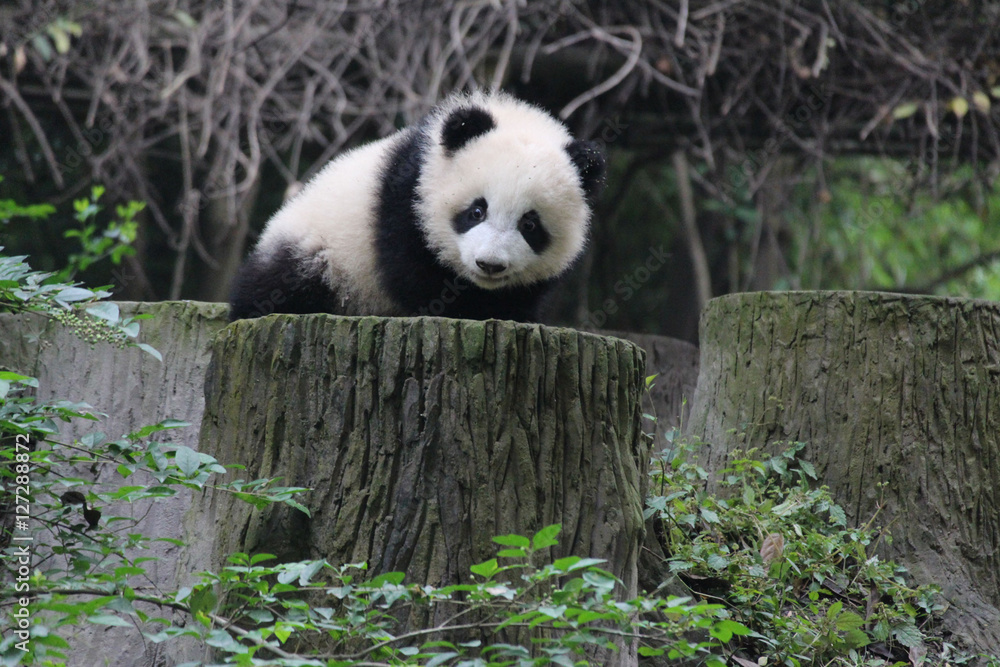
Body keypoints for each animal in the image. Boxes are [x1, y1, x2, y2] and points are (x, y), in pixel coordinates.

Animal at [228, 90, 606, 323]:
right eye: (476, 211)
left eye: (530, 225)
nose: (490, 264)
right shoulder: (407, 196)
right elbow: (411, 273)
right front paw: (464, 309)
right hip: (320, 254)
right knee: (281, 286)